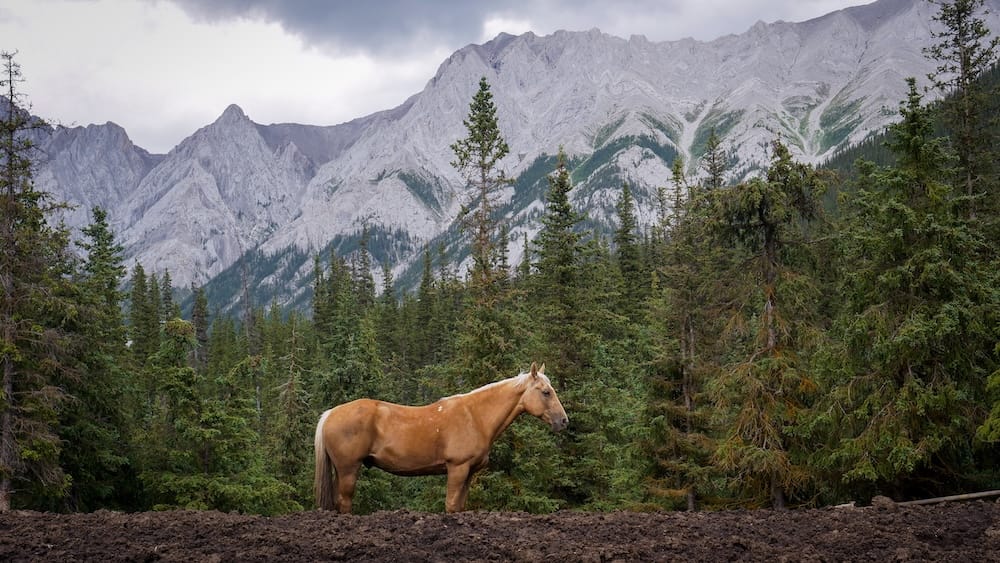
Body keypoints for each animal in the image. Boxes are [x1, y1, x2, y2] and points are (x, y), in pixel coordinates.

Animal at [314, 362, 568, 513]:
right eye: (546, 392)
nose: (564, 421)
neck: (475, 416)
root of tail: (330, 414)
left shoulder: (469, 473)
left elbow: (459, 506)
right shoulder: (457, 468)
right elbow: (451, 505)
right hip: (348, 469)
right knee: (344, 502)